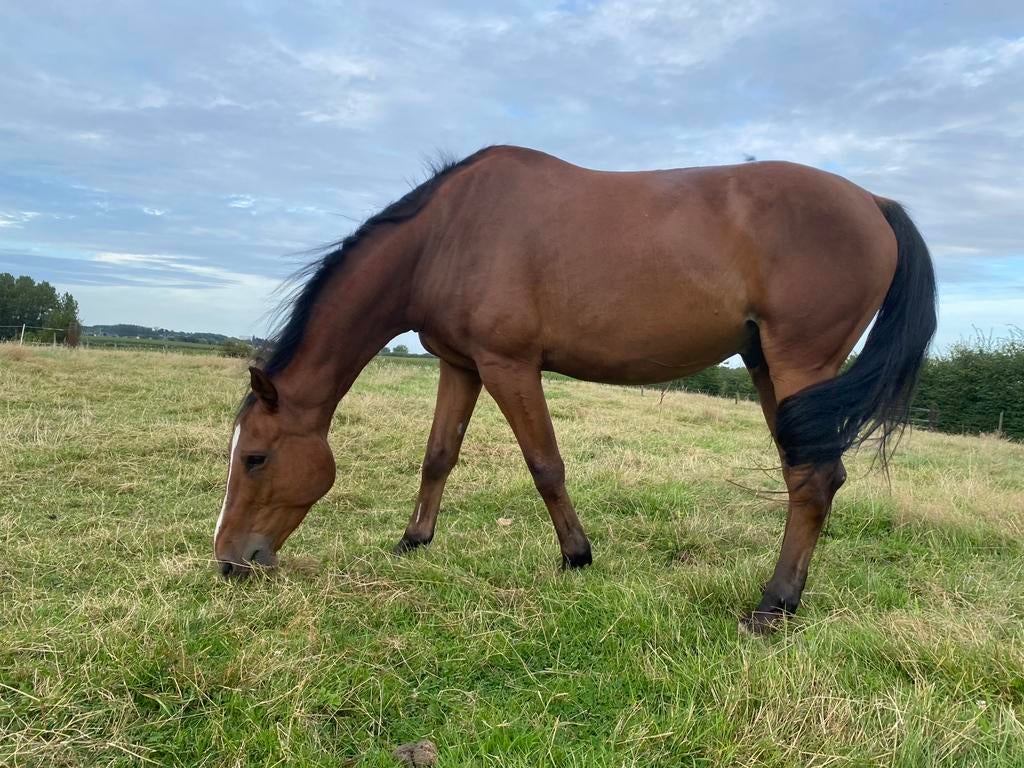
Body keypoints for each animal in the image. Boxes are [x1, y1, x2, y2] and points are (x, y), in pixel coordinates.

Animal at [213, 145, 936, 635]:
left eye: (255, 457)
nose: (229, 563)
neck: (449, 233)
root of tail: (875, 203)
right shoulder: (461, 366)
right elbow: (438, 456)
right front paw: (413, 541)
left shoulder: (508, 365)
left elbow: (545, 464)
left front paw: (576, 556)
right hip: (770, 371)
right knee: (815, 476)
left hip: (798, 364)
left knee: (811, 480)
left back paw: (773, 605)